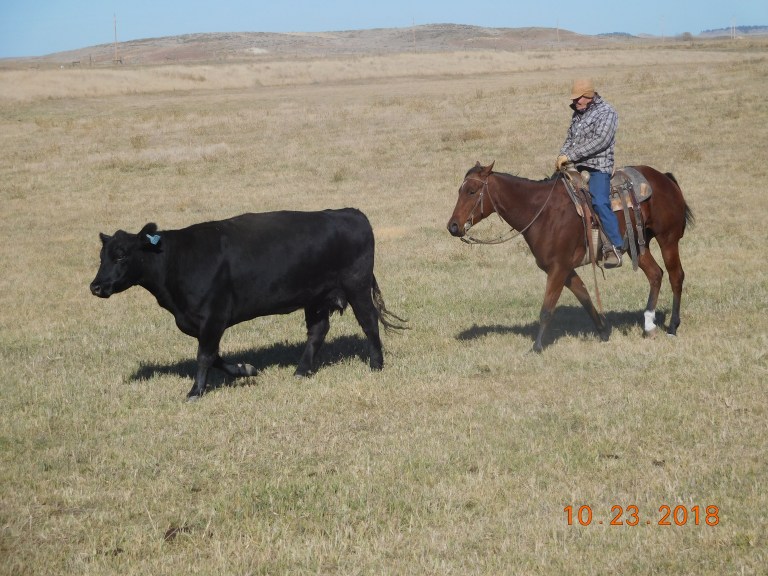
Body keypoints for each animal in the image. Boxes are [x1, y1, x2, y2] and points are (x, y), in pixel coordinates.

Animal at [90, 209, 407, 400]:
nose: (96, 286)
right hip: (316, 298)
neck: (178, 259)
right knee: (317, 332)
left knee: (369, 323)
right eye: (102, 256)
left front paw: (195, 391)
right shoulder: (200, 322)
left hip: (357, 287)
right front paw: (246, 369)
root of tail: (350, 213)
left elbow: (204, 356)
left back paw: (376, 365)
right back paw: (301, 371)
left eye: (121, 255)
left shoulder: (214, 316)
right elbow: (215, 355)